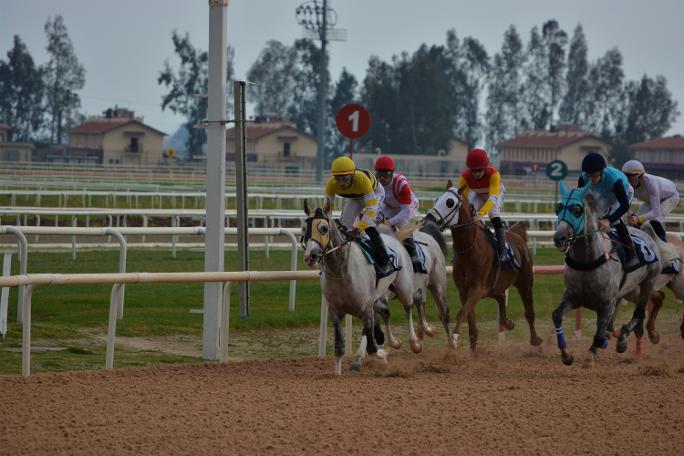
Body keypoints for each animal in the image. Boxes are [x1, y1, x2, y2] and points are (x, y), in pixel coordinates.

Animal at [302, 201, 420, 376]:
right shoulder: (335, 311)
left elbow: (372, 347)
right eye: (304, 228)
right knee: (385, 313)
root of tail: (393, 239)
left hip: (403, 288)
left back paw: (414, 343)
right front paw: (337, 373)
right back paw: (392, 343)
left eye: (323, 228)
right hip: (377, 298)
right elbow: (339, 348)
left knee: (408, 308)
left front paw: (382, 355)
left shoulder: (365, 309)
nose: (311, 256)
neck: (342, 271)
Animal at [424, 180, 544, 350]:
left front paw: (454, 338)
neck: (469, 249)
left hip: (525, 282)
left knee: (529, 312)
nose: (429, 218)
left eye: (449, 202)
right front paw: (472, 352)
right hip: (496, 286)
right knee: (501, 297)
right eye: (436, 199)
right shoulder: (463, 290)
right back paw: (508, 322)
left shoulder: (477, 288)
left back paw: (535, 339)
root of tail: (518, 235)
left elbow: (462, 313)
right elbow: (472, 326)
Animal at [552, 182, 660, 366]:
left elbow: (599, 333)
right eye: (558, 209)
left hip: (648, 282)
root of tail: (646, 233)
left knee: (639, 312)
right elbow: (557, 316)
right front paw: (566, 355)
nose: (559, 238)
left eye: (577, 210)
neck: (588, 261)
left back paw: (623, 340)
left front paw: (590, 357)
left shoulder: (607, 302)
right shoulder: (573, 298)